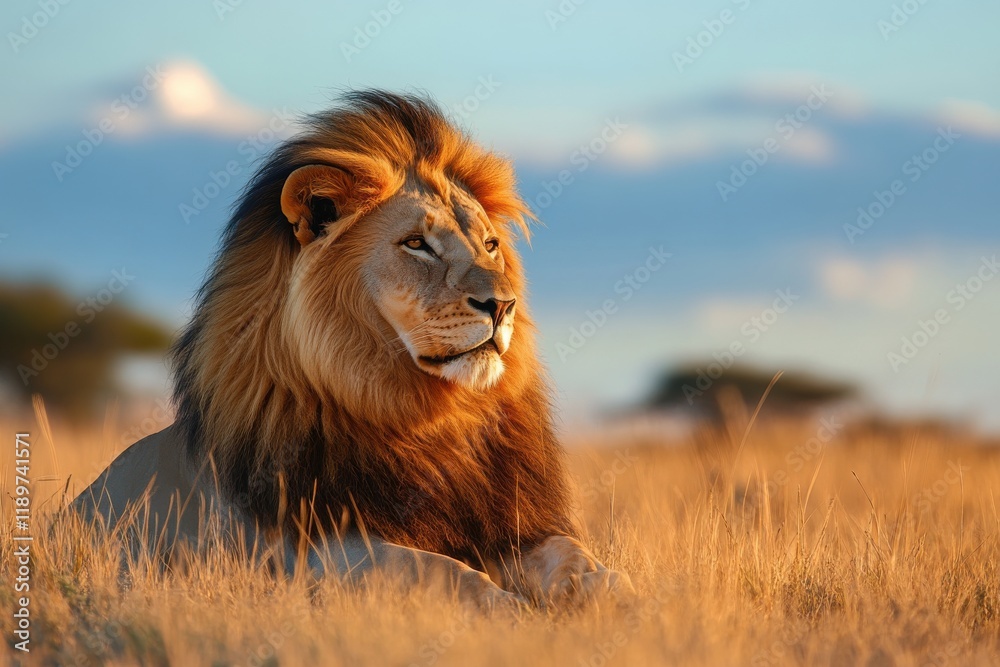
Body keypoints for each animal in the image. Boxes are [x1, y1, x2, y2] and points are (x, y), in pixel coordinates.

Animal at [72, 90, 632, 610]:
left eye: (490, 245)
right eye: (416, 244)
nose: (503, 305)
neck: (425, 417)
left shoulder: (509, 523)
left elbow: (571, 553)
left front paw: (614, 596)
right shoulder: (315, 547)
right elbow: (439, 569)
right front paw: (511, 609)